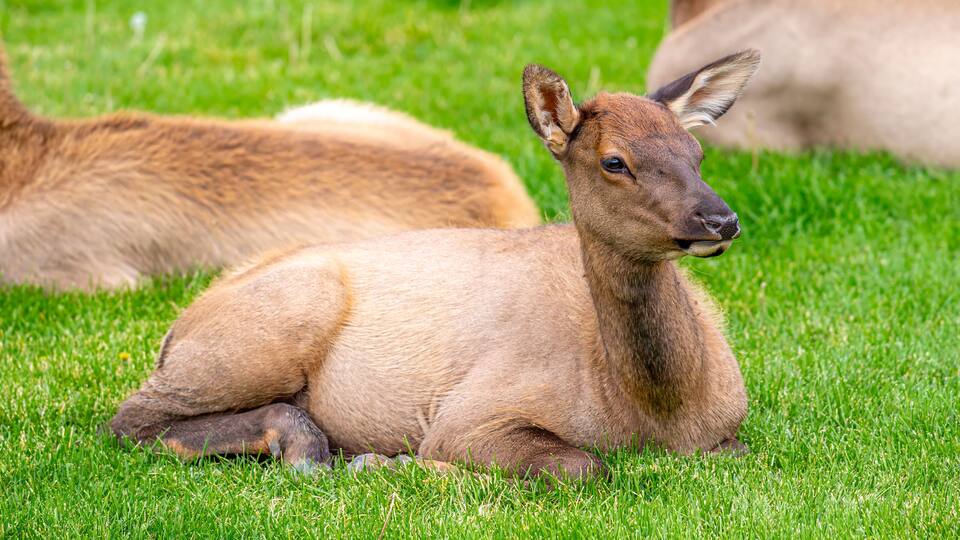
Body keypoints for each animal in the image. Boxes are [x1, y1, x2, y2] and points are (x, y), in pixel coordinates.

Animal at [110, 50, 760, 480]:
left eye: (697, 152)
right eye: (614, 161)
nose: (719, 220)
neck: (656, 414)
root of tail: (177, 329)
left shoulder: (731, 429)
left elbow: (735, 450)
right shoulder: (472, 414)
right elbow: (579, 465)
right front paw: (390, 462)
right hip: (259, 336)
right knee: (127, 421)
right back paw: (312, 448)